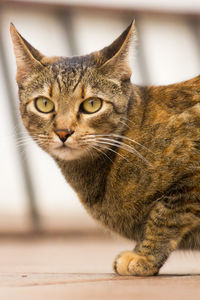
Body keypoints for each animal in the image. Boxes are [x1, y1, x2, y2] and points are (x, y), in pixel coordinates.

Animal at [10, 20, 200, 274]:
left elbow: (166, 215)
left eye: (92, 104)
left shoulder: (190, 177)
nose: (63, 132)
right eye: (44, 104)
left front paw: (144, 256)